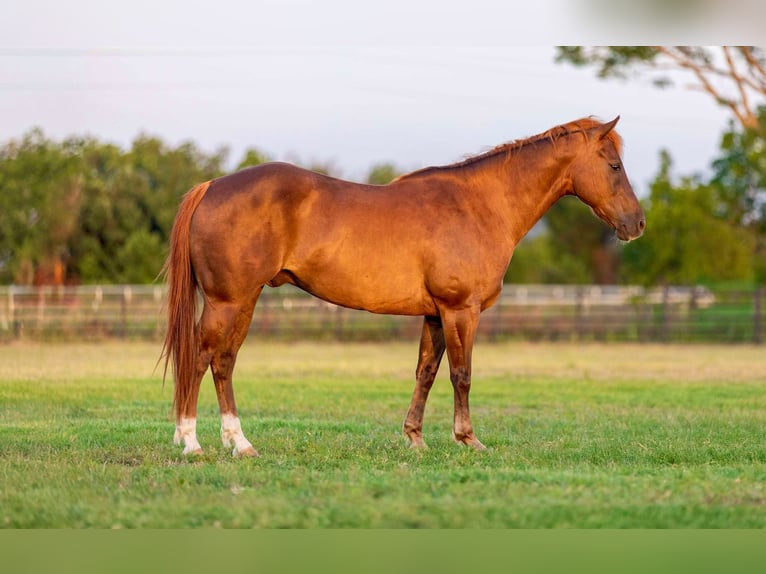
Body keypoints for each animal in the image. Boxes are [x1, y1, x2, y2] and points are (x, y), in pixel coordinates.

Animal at [162, 116, 645, 457]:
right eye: (614, 165)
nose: (636, 224)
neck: (480, 205)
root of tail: (211, 187)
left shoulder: (434, 313)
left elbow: (426, 373)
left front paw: (414, 438)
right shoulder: (460, 310)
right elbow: (462, 374)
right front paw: (468, 439)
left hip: (244, 301)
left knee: (224, 362)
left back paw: (239, 443)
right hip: (228, 301)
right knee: (202, 357)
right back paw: (191, 442)